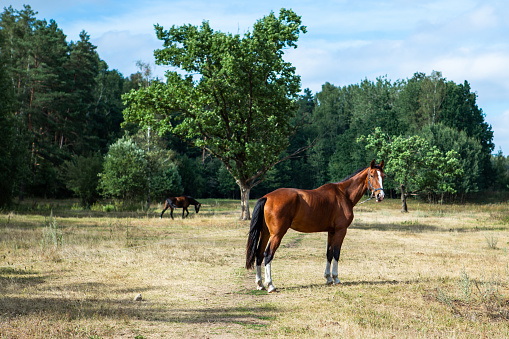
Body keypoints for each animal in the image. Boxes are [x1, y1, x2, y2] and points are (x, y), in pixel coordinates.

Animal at [244, 159, 382, 292]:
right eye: (372, 175)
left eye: (383, 176)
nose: (380, 196)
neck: (343, 194)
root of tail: (267, 197)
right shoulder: (341, 230)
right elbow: (336, 253)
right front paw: (336, 278)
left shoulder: (331, 231)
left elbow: (329, 253)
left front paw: (328, 278)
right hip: (277, 235)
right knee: (268, 255)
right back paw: (270, 285)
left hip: (266, 233)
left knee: (259, 254)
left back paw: (260, 284)